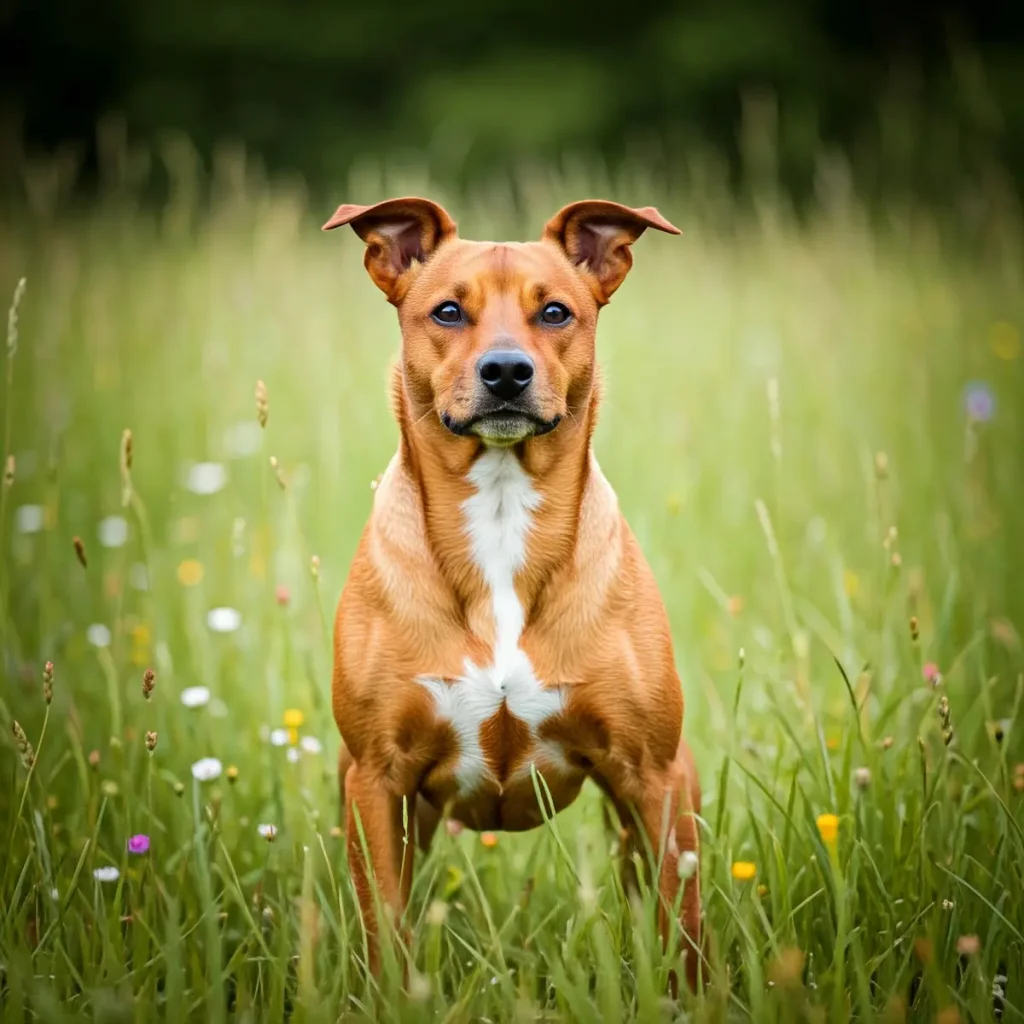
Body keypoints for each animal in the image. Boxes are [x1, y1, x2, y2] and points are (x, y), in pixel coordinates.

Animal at [323, 195, 700, 987]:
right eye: (446, 311)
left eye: (555, 312)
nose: (505, 371)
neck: (499, 516)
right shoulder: (377, 782)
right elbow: (385, 929)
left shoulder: (653, 778)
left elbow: (682, 930)